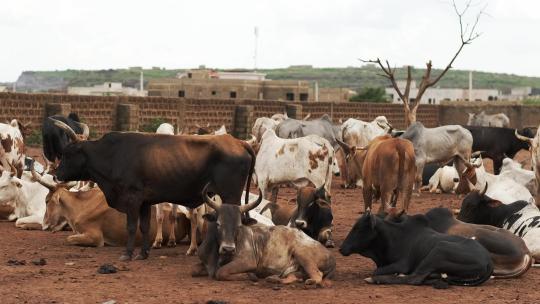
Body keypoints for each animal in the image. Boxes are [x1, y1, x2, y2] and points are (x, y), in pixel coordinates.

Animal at [192, 184, 336, 286]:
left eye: (239, 225)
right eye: (218, 224)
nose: (228, 249)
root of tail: (330, 255)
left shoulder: (246, 261)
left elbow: (220, 272)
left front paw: (250, 276)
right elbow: (194, 271)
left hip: (302, 254)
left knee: (317, 275)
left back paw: (310, 282)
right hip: (295, 270)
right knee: (293, 277)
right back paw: (274, 279)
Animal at [340, 209, 496, 288]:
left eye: (358, 228)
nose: (342, 248)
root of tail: (488, 260)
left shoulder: (402, 265)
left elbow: (377, 271)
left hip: (439, 250)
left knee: (414, 278)